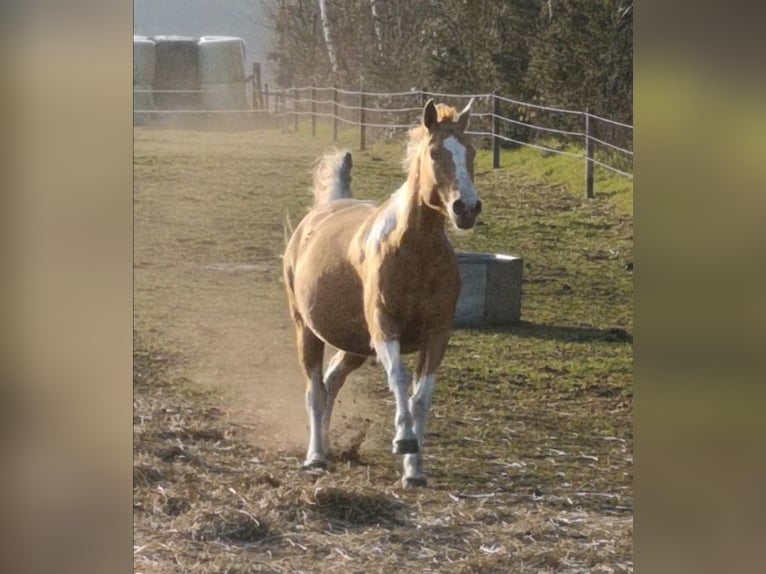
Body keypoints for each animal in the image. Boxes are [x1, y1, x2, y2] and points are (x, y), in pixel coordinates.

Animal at [284, 99, 484, 486]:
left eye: (471, 151)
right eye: (435, 152)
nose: (466, 208)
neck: (413, 251)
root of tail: (324, 209)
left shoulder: (437, 334)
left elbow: (421, 397)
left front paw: (414, 470)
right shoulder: (384, 326)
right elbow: (399, 378)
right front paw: (403, 440)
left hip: (354, 346)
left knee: (331, 383)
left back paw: (328, 447)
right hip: (307, 330)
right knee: (315, 391)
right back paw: (315, 457)